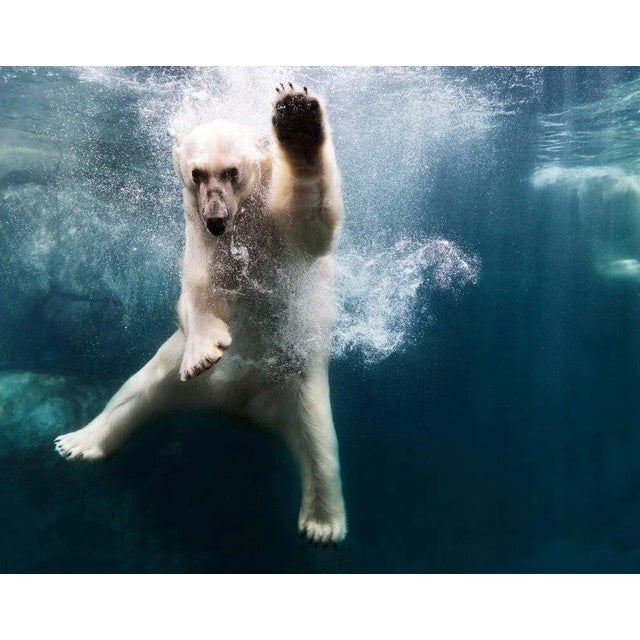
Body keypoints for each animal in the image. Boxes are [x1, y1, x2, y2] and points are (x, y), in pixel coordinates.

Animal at [54, 83, 347, 545]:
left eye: (232, 172)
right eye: (197, 173)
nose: (216, 219)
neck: (243, 219)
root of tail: (240, 405)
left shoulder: (279, 230)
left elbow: (313, 222)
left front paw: (296, 116)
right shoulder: (203, 242)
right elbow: (198, 294)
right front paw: (205, 352)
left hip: (299, 381)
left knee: (319, 443)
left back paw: (321, 524)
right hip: (174, 373)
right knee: (136, 392)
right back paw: (79, 441)